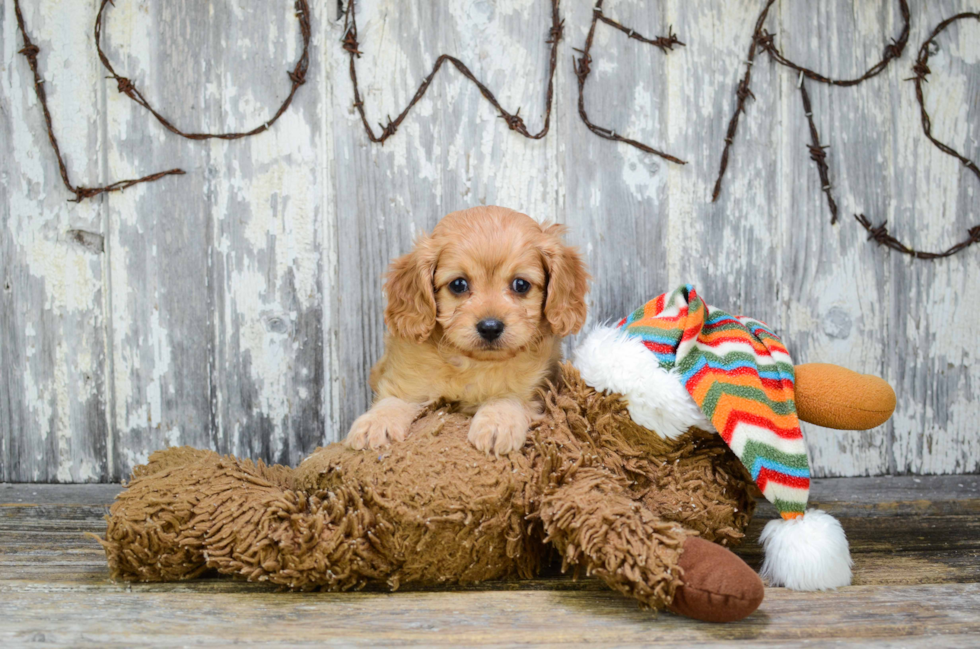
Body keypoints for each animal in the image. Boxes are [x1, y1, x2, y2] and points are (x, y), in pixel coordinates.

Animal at [346, 205, 588, 454]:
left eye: (521, 285)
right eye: (458, 284)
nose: (490, 328)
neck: (473, 363)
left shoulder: (535, 388)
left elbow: (507, 397)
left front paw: (497, 423)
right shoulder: (407, 379)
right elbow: (395, 399)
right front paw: (375, 422)